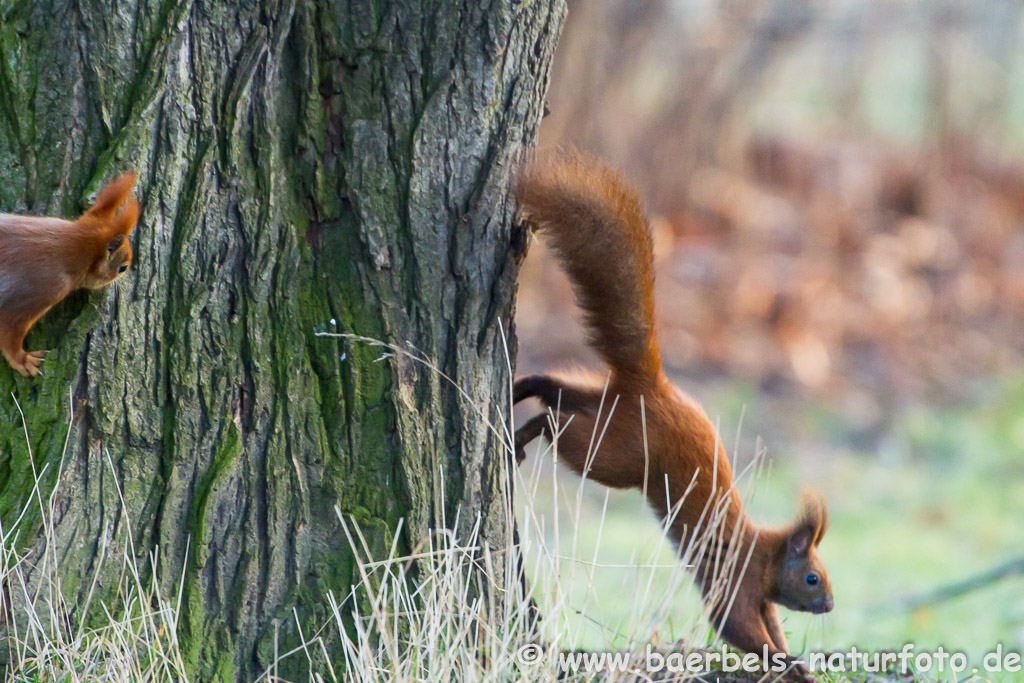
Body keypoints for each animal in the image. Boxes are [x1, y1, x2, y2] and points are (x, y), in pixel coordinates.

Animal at [516, 152, 827, 679]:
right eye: (811, 578)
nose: (830, 606)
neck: (763, 555)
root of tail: (654, 385)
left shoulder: (761, 599)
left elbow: (771, 627)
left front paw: (796, 662)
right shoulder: (735, 586)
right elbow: (742, 631)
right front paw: (788, 663)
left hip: (611, 410)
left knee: (565, 392)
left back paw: (526, 387)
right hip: (616, 454)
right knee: (562, 429)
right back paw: (526, 430)